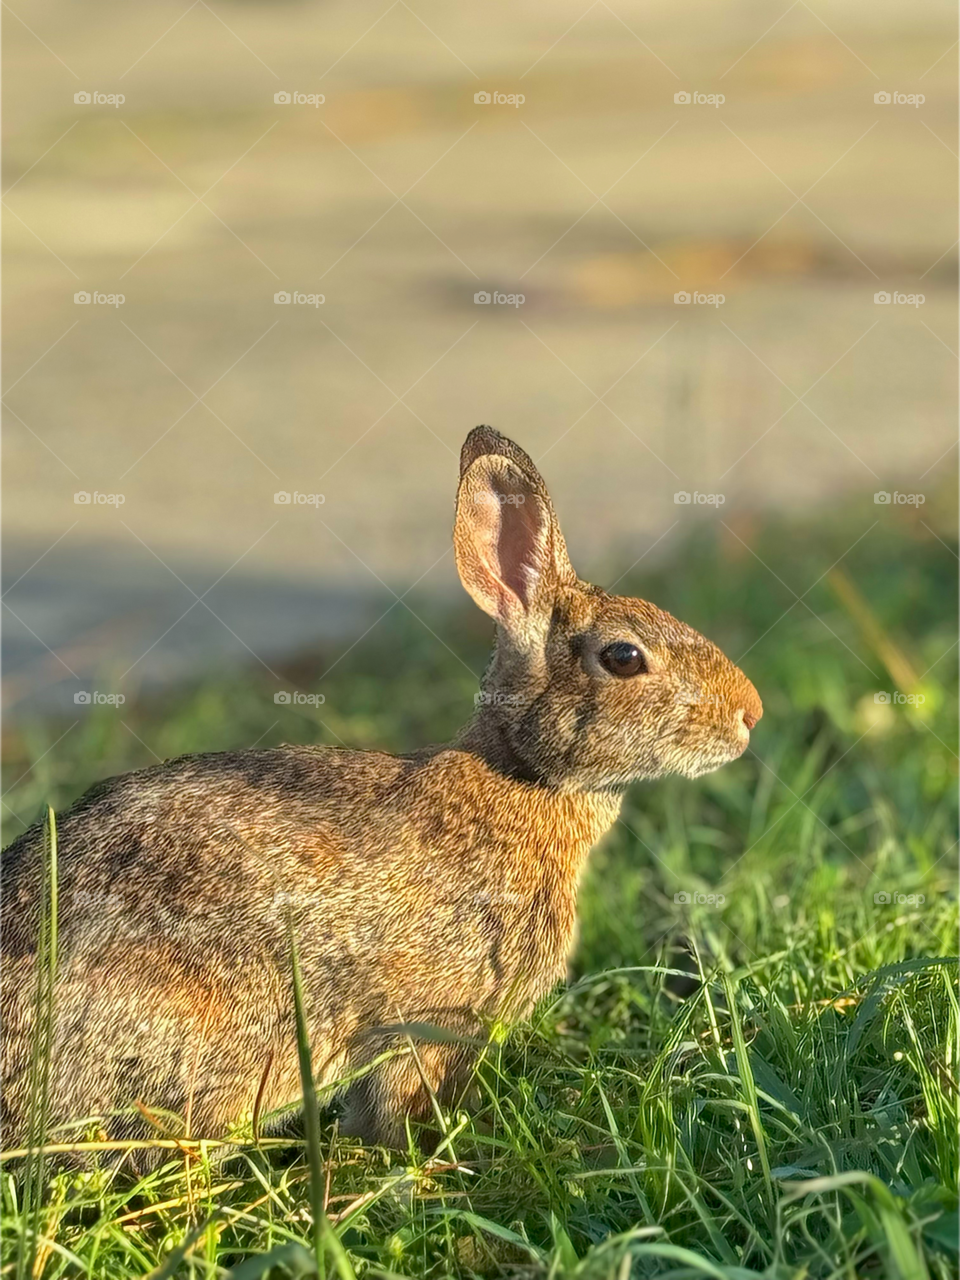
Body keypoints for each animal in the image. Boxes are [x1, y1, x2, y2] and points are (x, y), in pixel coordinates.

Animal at [0, 426, 761, 1159]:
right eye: (623, 657)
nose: (749, 714)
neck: (521, 774)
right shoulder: (426, 1019)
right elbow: (400, 1101)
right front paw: (423, 1164)